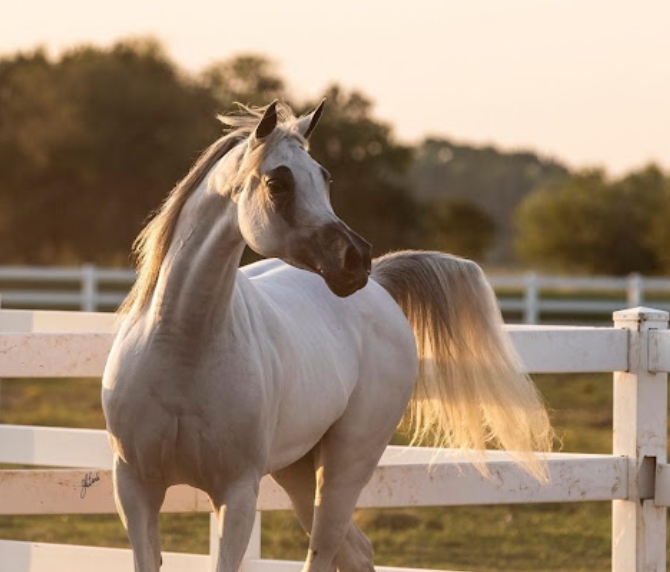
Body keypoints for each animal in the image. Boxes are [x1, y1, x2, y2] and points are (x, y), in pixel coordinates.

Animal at [102, 101, 552, 572]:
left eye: (324, 177)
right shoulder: (135, 489)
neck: (180, 347)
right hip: (296, 469)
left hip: (345, 466)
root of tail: (381, 285)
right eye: (278, 182)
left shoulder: (236, 494)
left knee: (329, 549)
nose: (355, 259)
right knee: (356, 551)